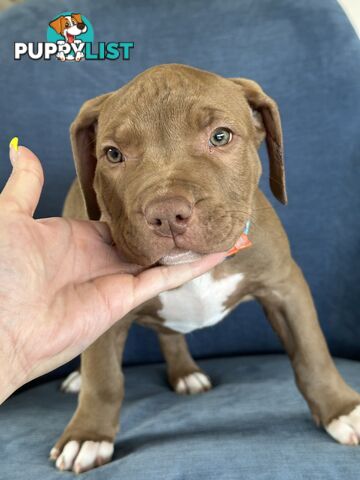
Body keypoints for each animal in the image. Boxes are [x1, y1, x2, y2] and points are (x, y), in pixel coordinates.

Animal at [50, 63, 360, 472]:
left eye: (220, 136)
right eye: (113, 154)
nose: (167, 214)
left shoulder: (284, 286)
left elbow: (312, 351)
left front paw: (340, 408)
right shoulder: (106, 309)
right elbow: (104, 377)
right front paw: (88, 435)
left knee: (171, 334)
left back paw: (185, 373)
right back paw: (79, 380)